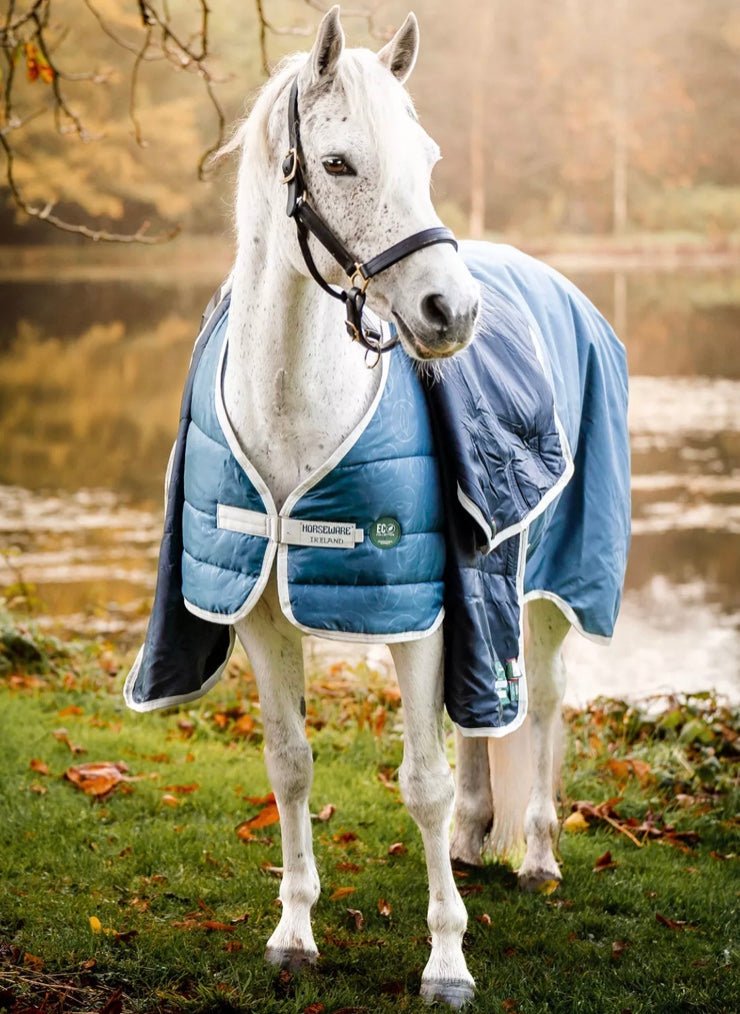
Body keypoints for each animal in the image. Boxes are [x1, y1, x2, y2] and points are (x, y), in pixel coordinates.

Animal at [126, 6, 630, 1007]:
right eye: (340, 162)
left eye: (428, 158)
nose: (450, 312)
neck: (295, 412)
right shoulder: (264, 616)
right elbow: (290, 767)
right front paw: (293, 933)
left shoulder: (417, 618)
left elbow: (421, 784)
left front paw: (446, 961)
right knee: (487, 721)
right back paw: (476, 839)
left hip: (549, 587)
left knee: (544, 703)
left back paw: (538, 856)